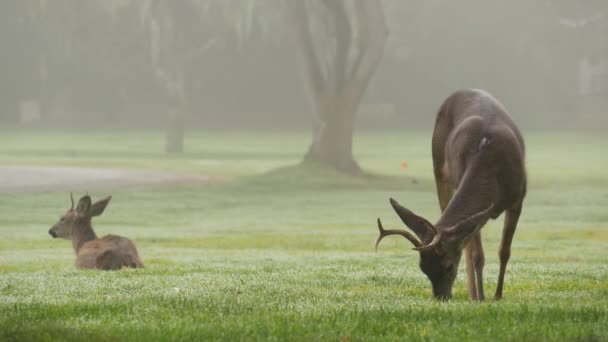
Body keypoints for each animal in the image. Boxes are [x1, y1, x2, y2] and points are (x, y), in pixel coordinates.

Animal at [376, 89, 528, 300]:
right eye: (423, 268)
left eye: (448, 267)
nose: (441, 297)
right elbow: (476, 255)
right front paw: (480, 297)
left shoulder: (518, 198)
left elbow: (504, 251)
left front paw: (497, 296)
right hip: (439, 169)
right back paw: (473, 295)